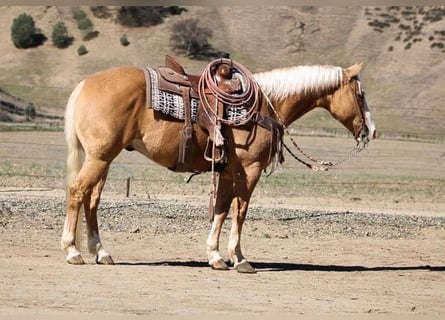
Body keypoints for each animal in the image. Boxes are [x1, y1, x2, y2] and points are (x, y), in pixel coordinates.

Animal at [61, 60, 374, 272]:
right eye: (360, 94)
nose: (371, 130)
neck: (264, 104)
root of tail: (84, 84)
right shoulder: (250, 169)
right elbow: (240, 212)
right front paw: (240, 258)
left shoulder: (227, 171)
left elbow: (221, 210)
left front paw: (215, 256)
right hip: (100, 157)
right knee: (77, 192)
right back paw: (73, 251)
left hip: (102, 159)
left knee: (92, 199)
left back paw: (101, 252)